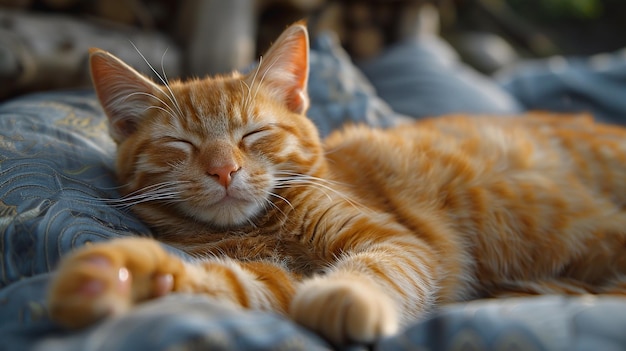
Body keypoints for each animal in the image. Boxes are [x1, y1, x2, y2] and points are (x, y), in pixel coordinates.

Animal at [48, 20, 626, 346]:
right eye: (180, 144)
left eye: (253, 133)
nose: (223, 170)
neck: (266, 226)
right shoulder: (273, 282)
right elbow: (226, 284)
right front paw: (123, 278)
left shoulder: (397, 241)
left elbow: (376, 268)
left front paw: (346, 294)